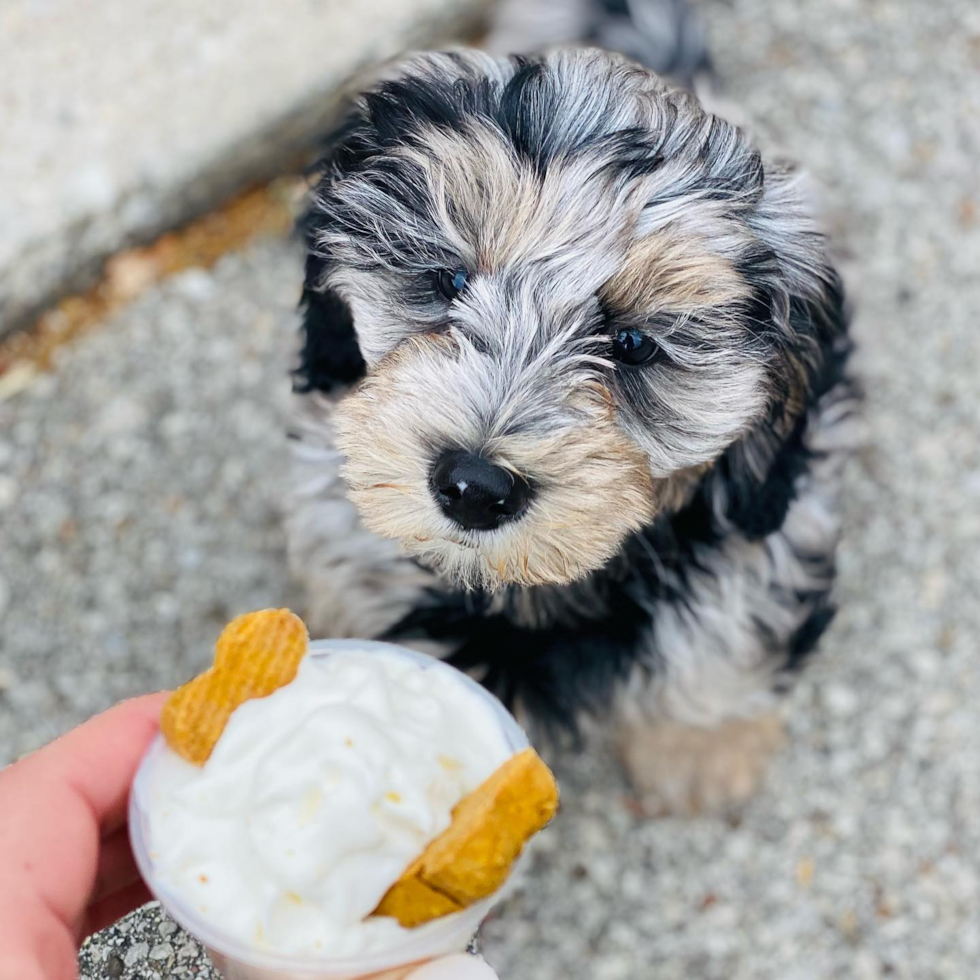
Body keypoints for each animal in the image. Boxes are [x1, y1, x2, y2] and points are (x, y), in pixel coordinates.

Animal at [288, 0, 852, 812]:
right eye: (449, 279)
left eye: (635, 344)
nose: (474, 487)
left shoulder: (769, 526)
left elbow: (726, 640)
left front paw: (703, 751)